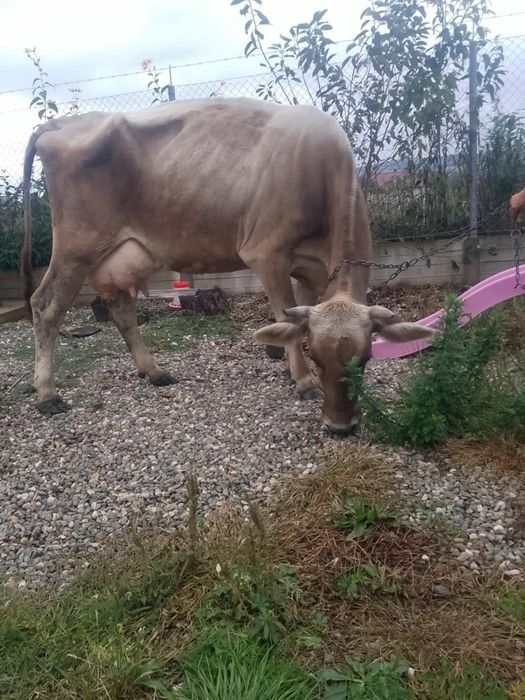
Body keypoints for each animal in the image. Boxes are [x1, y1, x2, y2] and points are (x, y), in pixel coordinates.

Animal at [21, 97, 433, 432]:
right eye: (317, 357)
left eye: (365, 359)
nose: (340, 426)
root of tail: (57, 124)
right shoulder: (266, 252)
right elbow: (284, 313)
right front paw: (303, 382)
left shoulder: (312, 268)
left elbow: (297, 314)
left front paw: (285, 361)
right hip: (76, 247)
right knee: (46, 306)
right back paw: (47, 394)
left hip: (128, 253)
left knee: (122, 308)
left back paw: (154, 371)